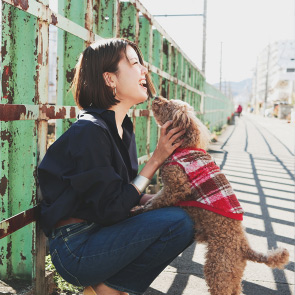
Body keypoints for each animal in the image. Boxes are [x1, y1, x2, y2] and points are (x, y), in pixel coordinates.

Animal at [143, 97, 290, 295]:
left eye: (168, 105)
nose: (157, 98)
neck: (182, 146)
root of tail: (244, 248)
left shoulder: (177, 186)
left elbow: (158, 201)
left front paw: (140, 209)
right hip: (233, 273)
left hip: (218, 268)